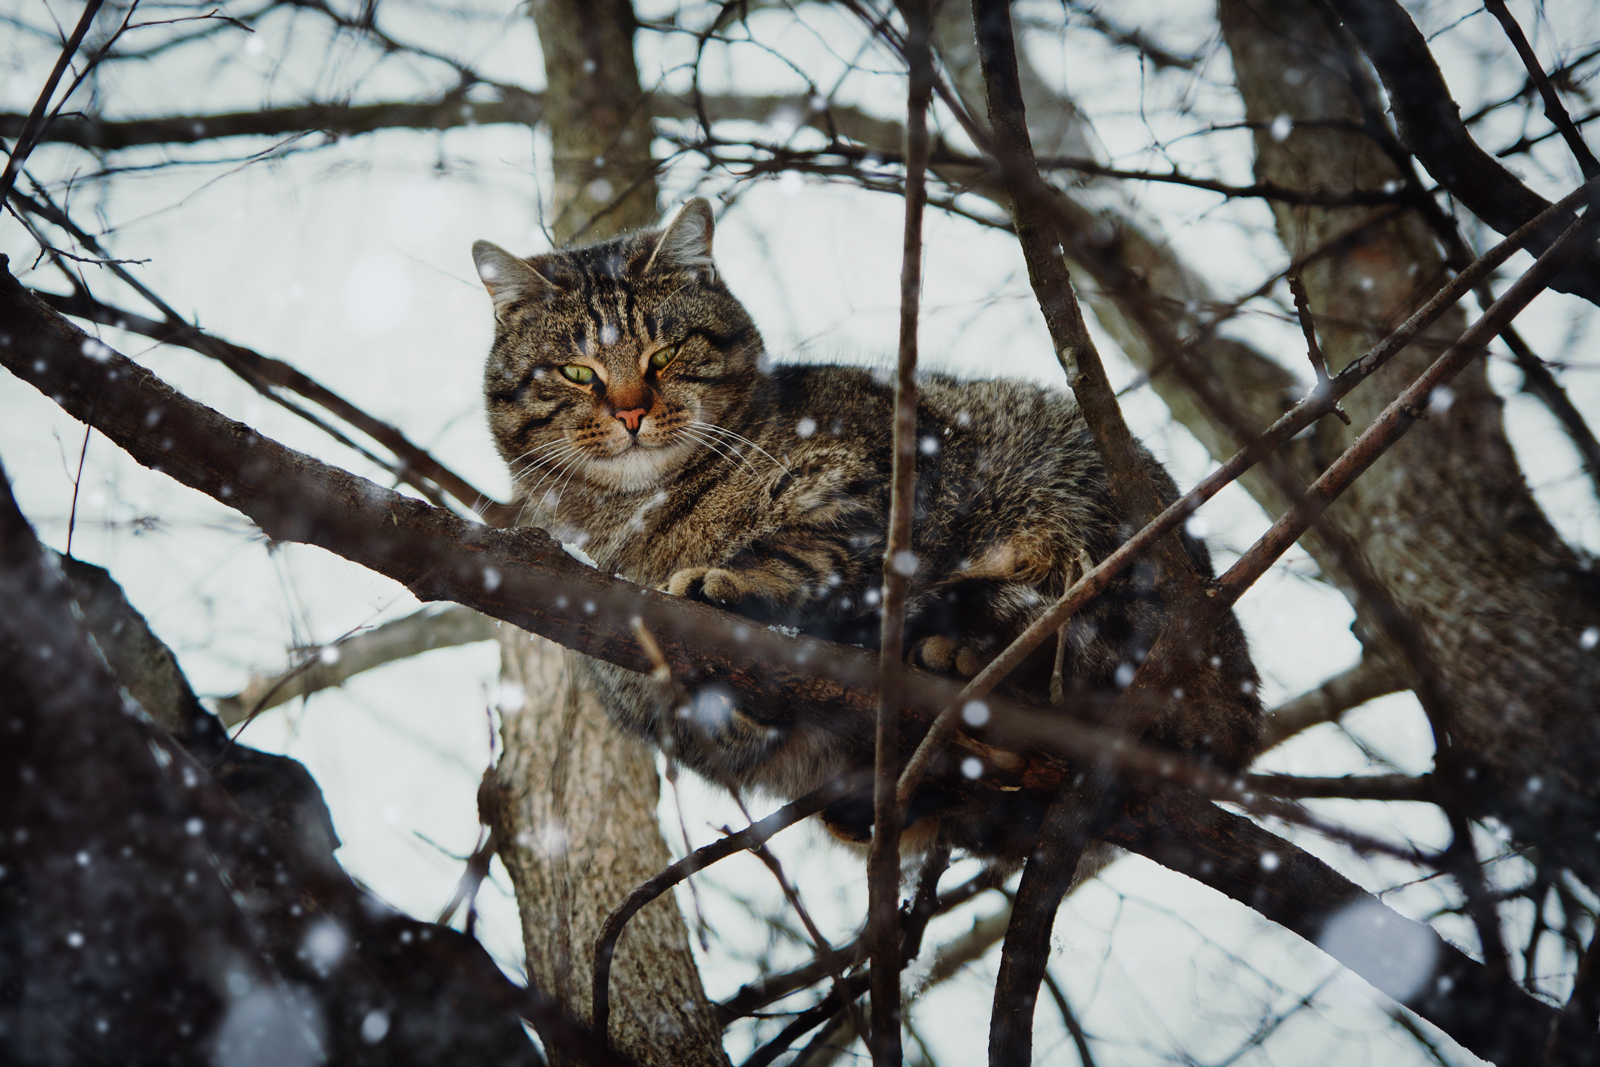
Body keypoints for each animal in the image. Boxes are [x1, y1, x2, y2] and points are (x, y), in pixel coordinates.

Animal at [473, 195, 1260, 857]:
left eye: (664, 353)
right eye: (577, 372)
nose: (631, 409)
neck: (646, 518)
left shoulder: (874, 481)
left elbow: (800, 551)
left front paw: (732, 577)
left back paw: (975, 657)